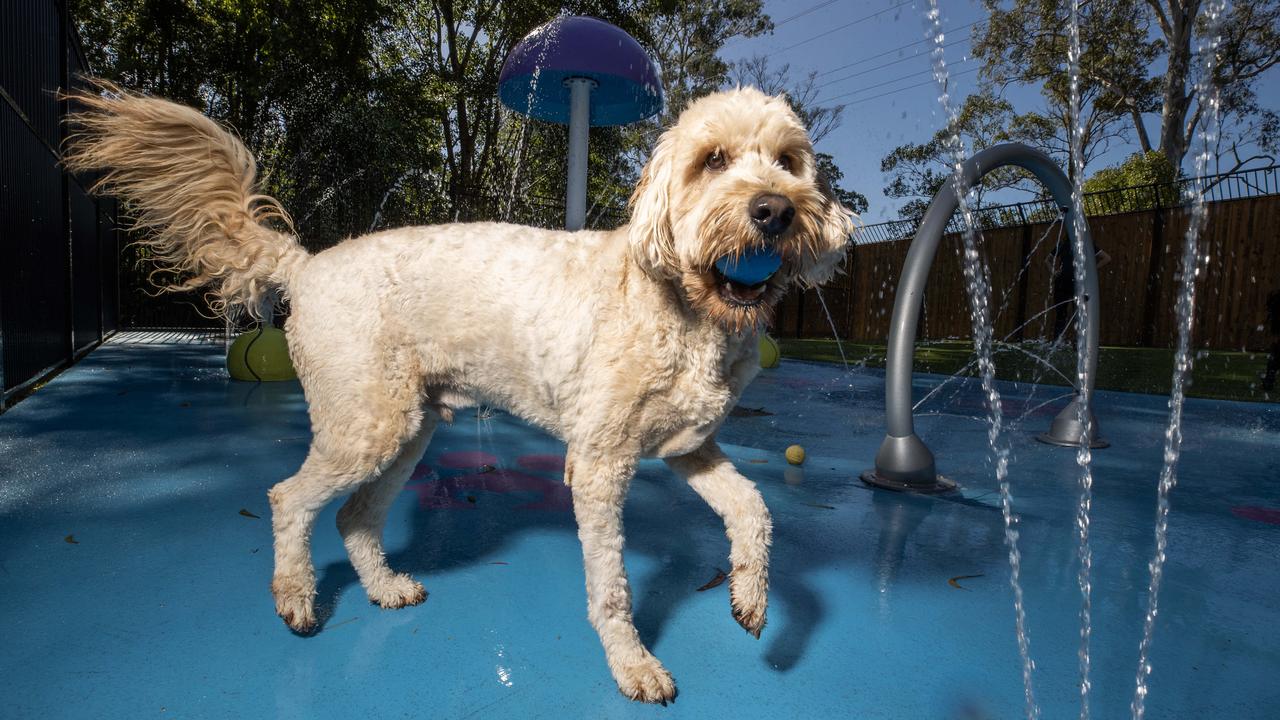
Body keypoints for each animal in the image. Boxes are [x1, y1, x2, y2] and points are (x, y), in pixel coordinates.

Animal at [64, 79, 855, 702]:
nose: (775, 211)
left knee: (353, 516)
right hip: (366, 427)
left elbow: (754, 510)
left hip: (410, 432)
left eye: (788, 162)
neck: (685, 308)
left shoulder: (691, 449)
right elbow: (613, 587)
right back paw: (294, 598)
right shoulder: (600, 467)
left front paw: (751, 597)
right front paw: (632, 664)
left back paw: (383, 588)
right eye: (711, 160)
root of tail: (304, 267)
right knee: (290, 499)